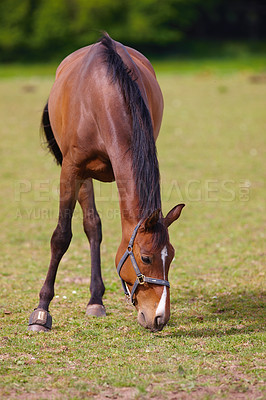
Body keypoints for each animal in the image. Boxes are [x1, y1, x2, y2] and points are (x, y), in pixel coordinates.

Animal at [28, 34, 184, 332]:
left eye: (170, 255)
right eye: (146, 258)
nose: (160, 317)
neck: (103, 96)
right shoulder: (72, 169)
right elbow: (61, 236)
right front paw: (41, 310)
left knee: (93, 227)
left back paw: (95, 299)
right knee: (91, 225)